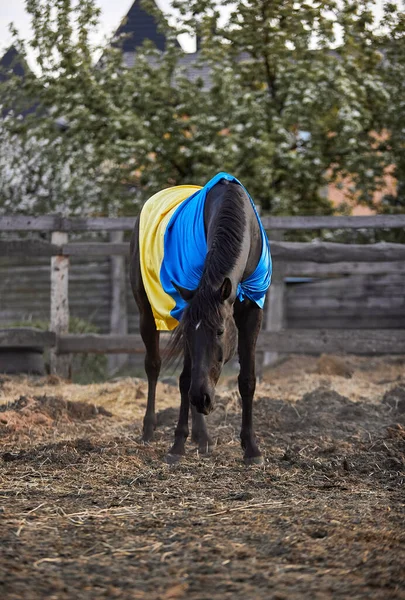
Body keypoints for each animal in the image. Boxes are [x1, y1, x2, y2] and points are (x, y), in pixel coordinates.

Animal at [129, 175, 268, 464]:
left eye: (220, 331)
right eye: (192, 333)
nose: (202, 399)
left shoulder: (252, 309)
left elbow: (247, 379)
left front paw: (251, 449)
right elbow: (184, 379)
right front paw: (176, 446)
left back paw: (202, 437)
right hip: (146, 312)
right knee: (153, 366)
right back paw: (150, 430)